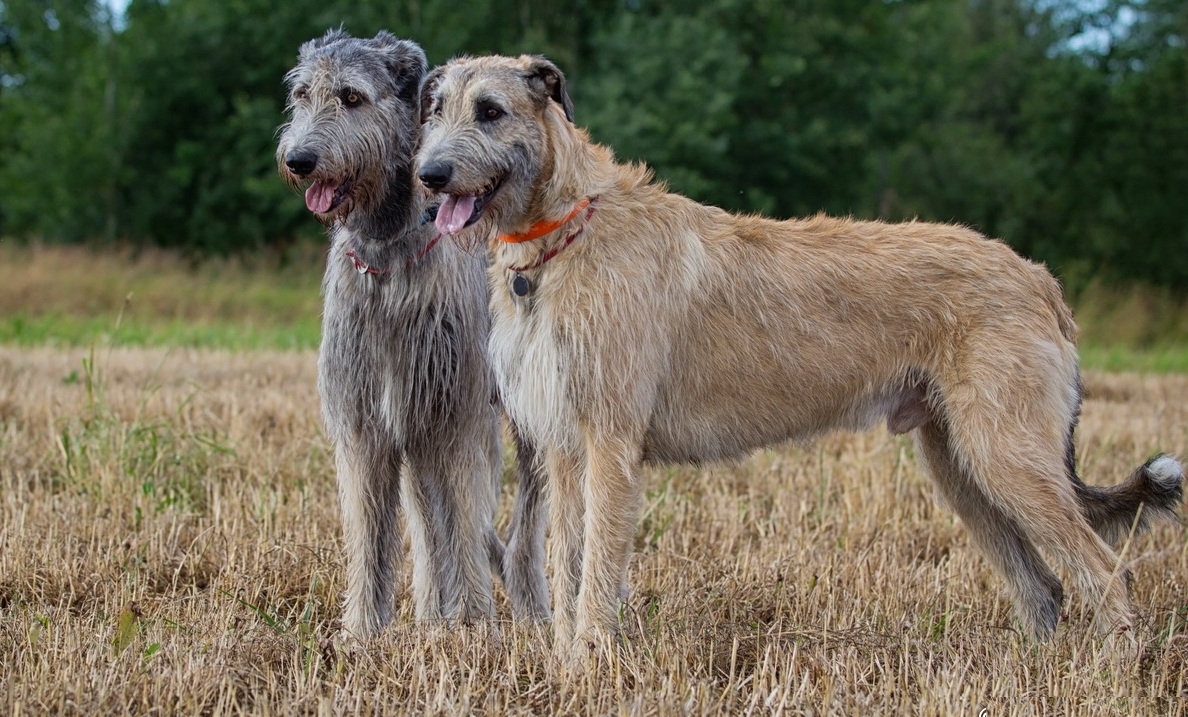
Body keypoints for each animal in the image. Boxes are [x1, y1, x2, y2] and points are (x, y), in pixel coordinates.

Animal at [275, 28, 548, 636]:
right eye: (302, 95)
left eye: (351, 97)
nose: (299, 159)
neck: (386, 255)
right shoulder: (367, 420)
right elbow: (370, 531)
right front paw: (362, 631)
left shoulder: (458, 415)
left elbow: (466, 519)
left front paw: (472, 624)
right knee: (428, 522)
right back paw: (429, 611)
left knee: (524, 520)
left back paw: (531, 605)